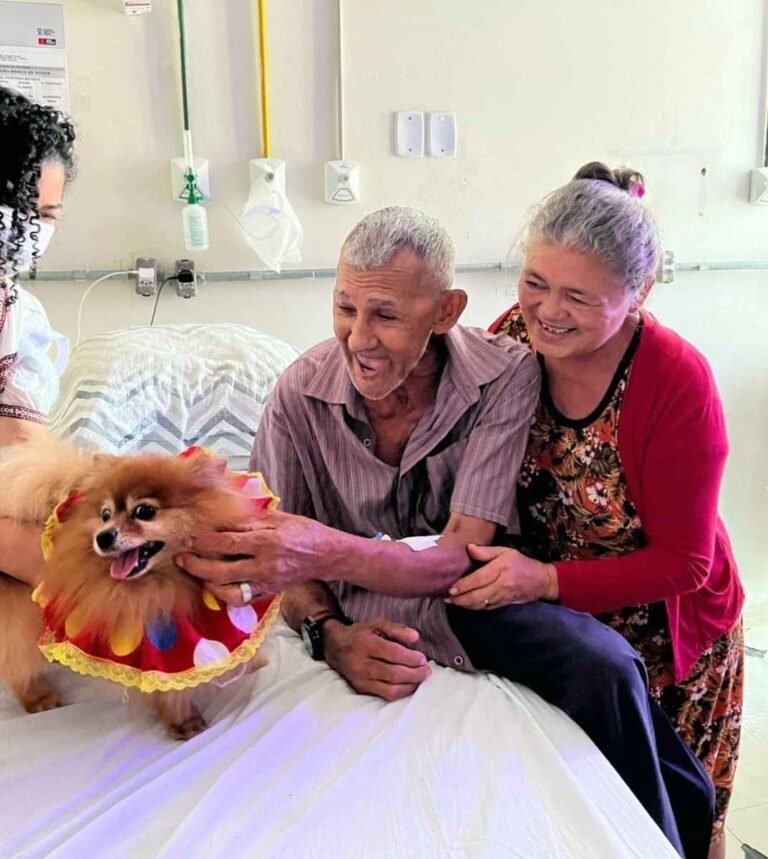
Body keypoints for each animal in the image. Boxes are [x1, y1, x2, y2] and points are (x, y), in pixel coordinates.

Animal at [0, 438, 278, 739]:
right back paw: (37, 696)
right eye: (105, 515)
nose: (103, 537)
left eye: (144, 511)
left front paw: (253, 663)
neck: (172, 579)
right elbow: (173, 690)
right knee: (16, 663)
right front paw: (185, 720)